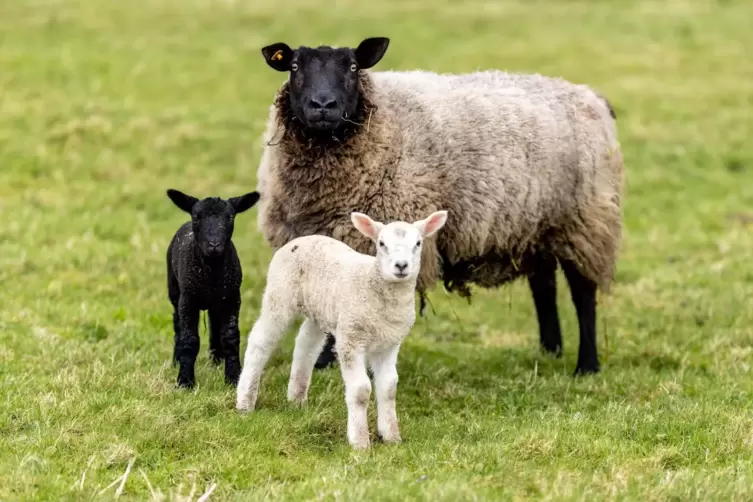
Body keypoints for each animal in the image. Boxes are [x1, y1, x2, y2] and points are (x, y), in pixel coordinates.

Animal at [166, 188, 260, 388]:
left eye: (230, 217)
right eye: (197, 216)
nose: (214, 245)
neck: (211, 275)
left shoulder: (232, 298)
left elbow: (230, 337)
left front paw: (233, 378)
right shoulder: (188, 300)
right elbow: (189, 339)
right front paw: (185, 382)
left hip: (218, 300)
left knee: (214, 323)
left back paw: (216, 360)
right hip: (175, 291)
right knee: (177, 325)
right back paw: (176, 361)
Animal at [235, 210, 446, 450]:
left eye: (418, 243)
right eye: (381, 243)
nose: (401, 266)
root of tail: (303, 239)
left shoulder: (390, 343)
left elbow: (389, 388)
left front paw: (392, 436)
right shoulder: (350, 339)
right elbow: (361, 390)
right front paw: (360, 441)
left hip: (320, 309)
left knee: (306, 344)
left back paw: (297, 399)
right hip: (279, 294)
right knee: (260, 342)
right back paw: (245, 402)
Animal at [253, 37, 624, 374]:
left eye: (354, 67)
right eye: (294, 66)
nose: (323, 104)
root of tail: (591, 96)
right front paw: (323, 364)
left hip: (585, 220)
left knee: (583, 292)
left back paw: (586, 365)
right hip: (533, 224)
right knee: (543, 284)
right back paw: (550, 349)